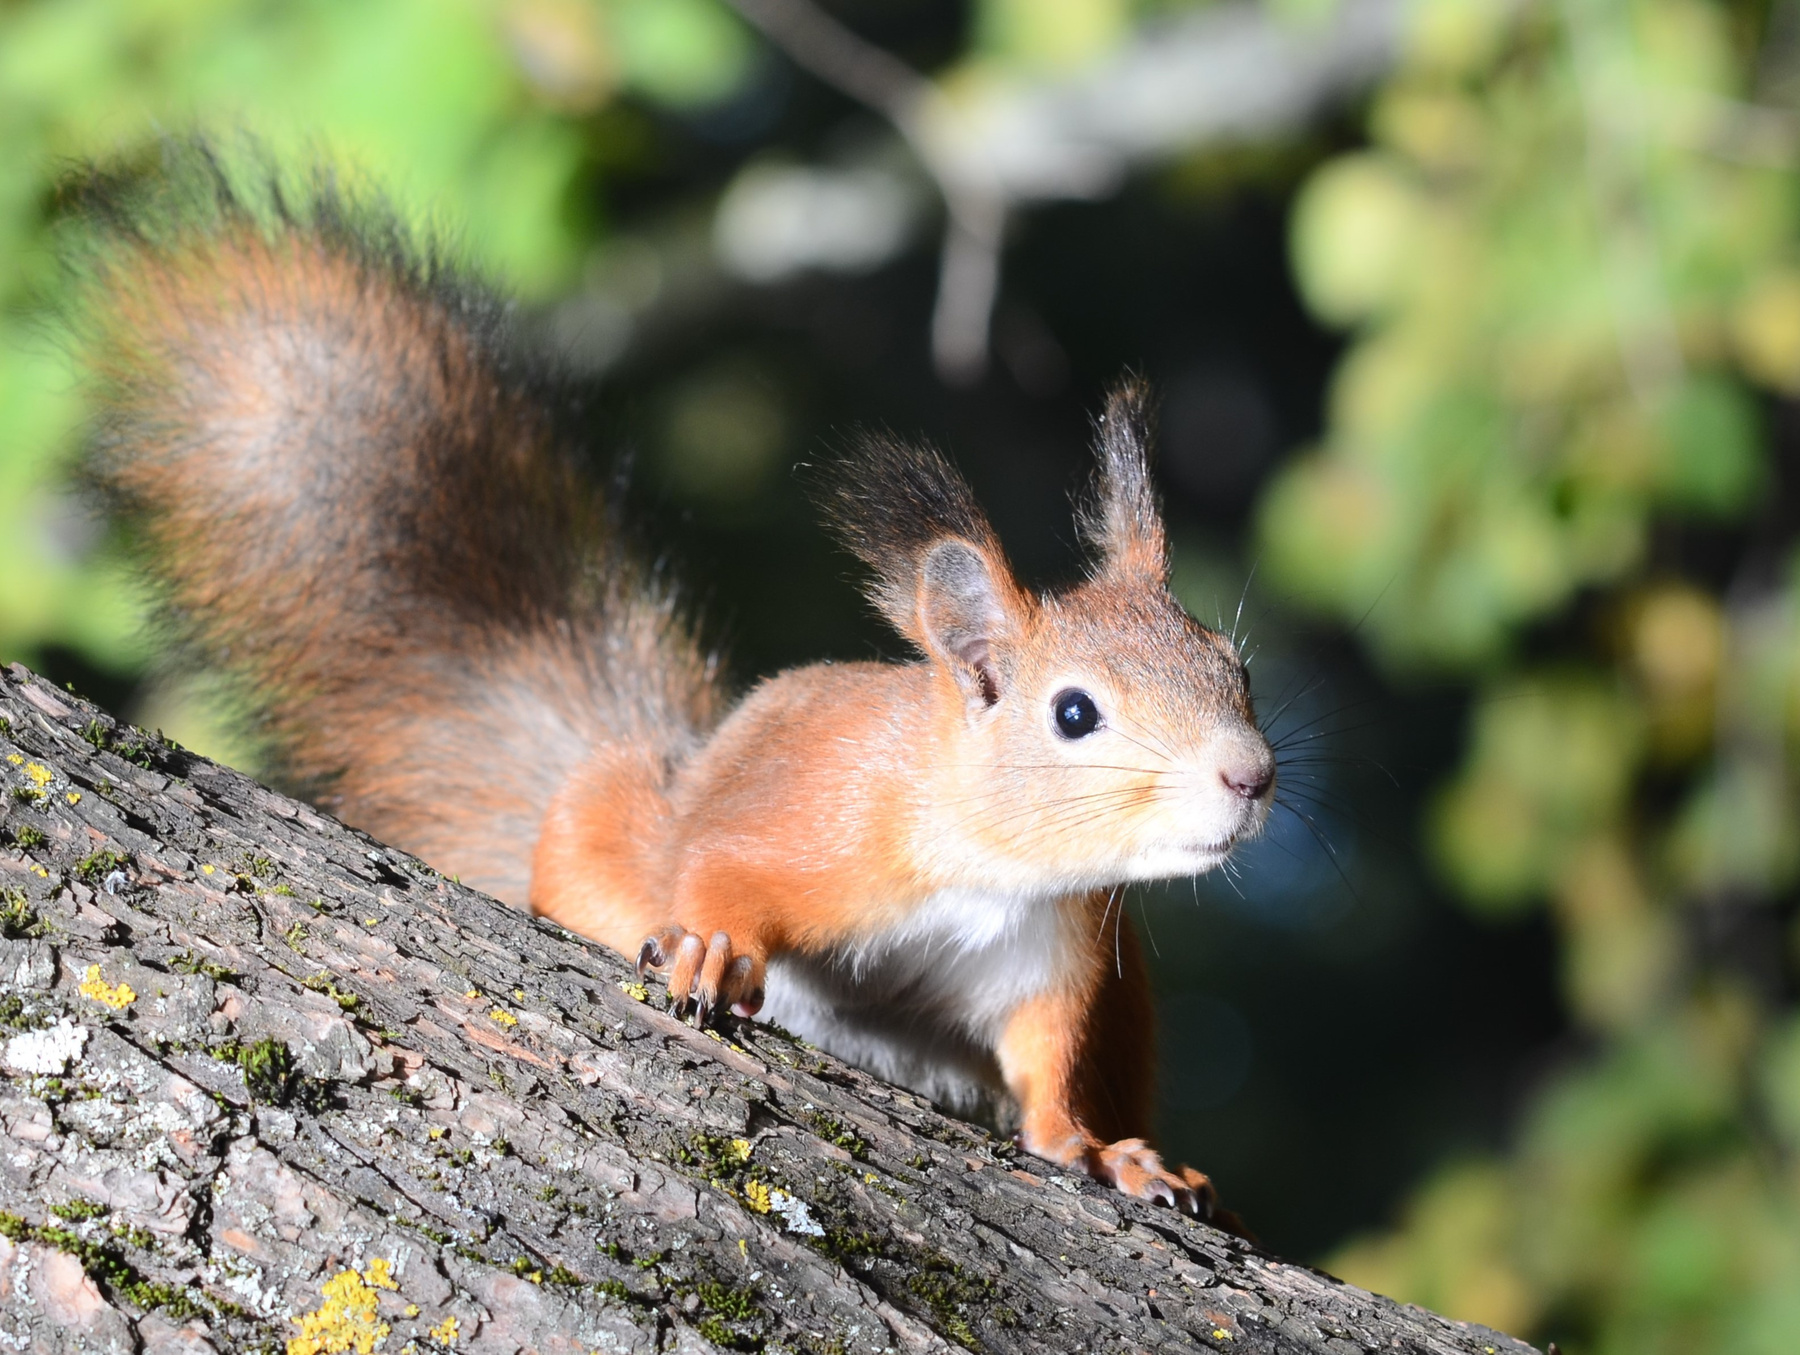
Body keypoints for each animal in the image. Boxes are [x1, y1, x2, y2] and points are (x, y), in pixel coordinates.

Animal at [69, 147, 1276, 1221]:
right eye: (1074, 712)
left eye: (1237, 668)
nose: (1252, 775)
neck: (987, 865)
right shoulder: (816, 826)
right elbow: (724, 870)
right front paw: (707, 946)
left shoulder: (1053, 957)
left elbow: (1049, 1074)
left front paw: (1101, 1150)